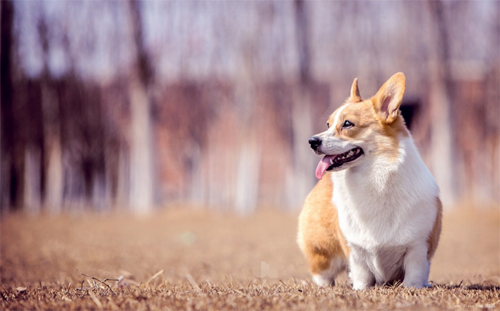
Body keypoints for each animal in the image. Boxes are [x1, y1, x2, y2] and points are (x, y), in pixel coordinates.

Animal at [296, 72, 442, 290]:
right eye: (328, 125)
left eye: (348, 124)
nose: (312, 141)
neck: (374, 177)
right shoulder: (356, 250)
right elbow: (361, 275)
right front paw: (360, 290)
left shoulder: (417, 247)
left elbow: (414, 276)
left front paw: (414, 287)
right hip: (323, 254)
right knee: (323, 275)